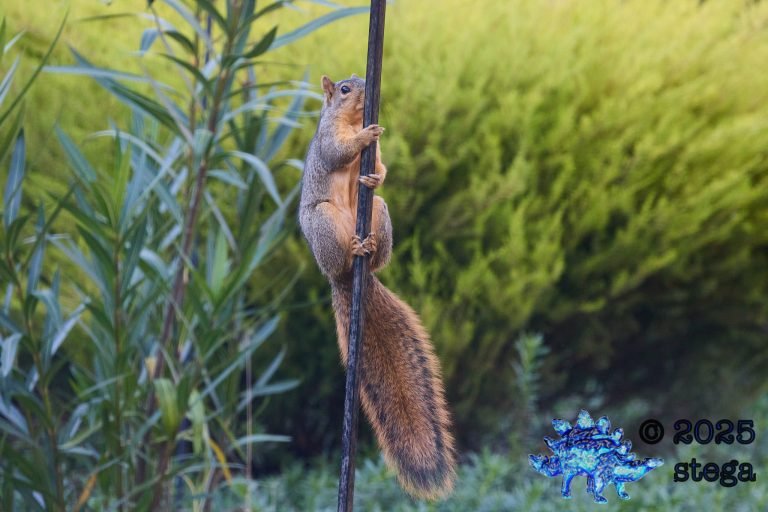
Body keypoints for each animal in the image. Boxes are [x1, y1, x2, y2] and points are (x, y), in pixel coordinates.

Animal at [299, 74, 457, 500]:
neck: (351, 120)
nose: (364, 88)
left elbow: (381, 165)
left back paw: (369, 247)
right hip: (324, 223)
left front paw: (376, 170)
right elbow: (337, 151)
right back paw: (353, 250)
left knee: (379, 245)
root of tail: (346, 278)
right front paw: (364, 136)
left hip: (380, 210)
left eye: (358, 81)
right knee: (340, 255)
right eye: (343, 89)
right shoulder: (328, 137)